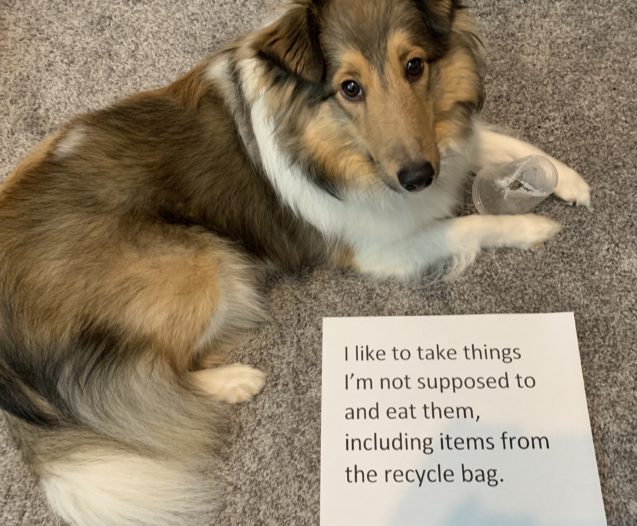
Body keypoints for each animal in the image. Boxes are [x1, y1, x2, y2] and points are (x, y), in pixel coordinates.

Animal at [0, 1, 588, 526]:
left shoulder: (443, 149)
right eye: (349, 87)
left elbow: (494, 141)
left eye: (415, 65)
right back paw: (233, 381)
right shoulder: (380, 248)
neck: (336, 147)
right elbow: (468, 225)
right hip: (204, 262)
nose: (418, 177)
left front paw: (566, 178)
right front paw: (532, 227)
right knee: (150, 377)